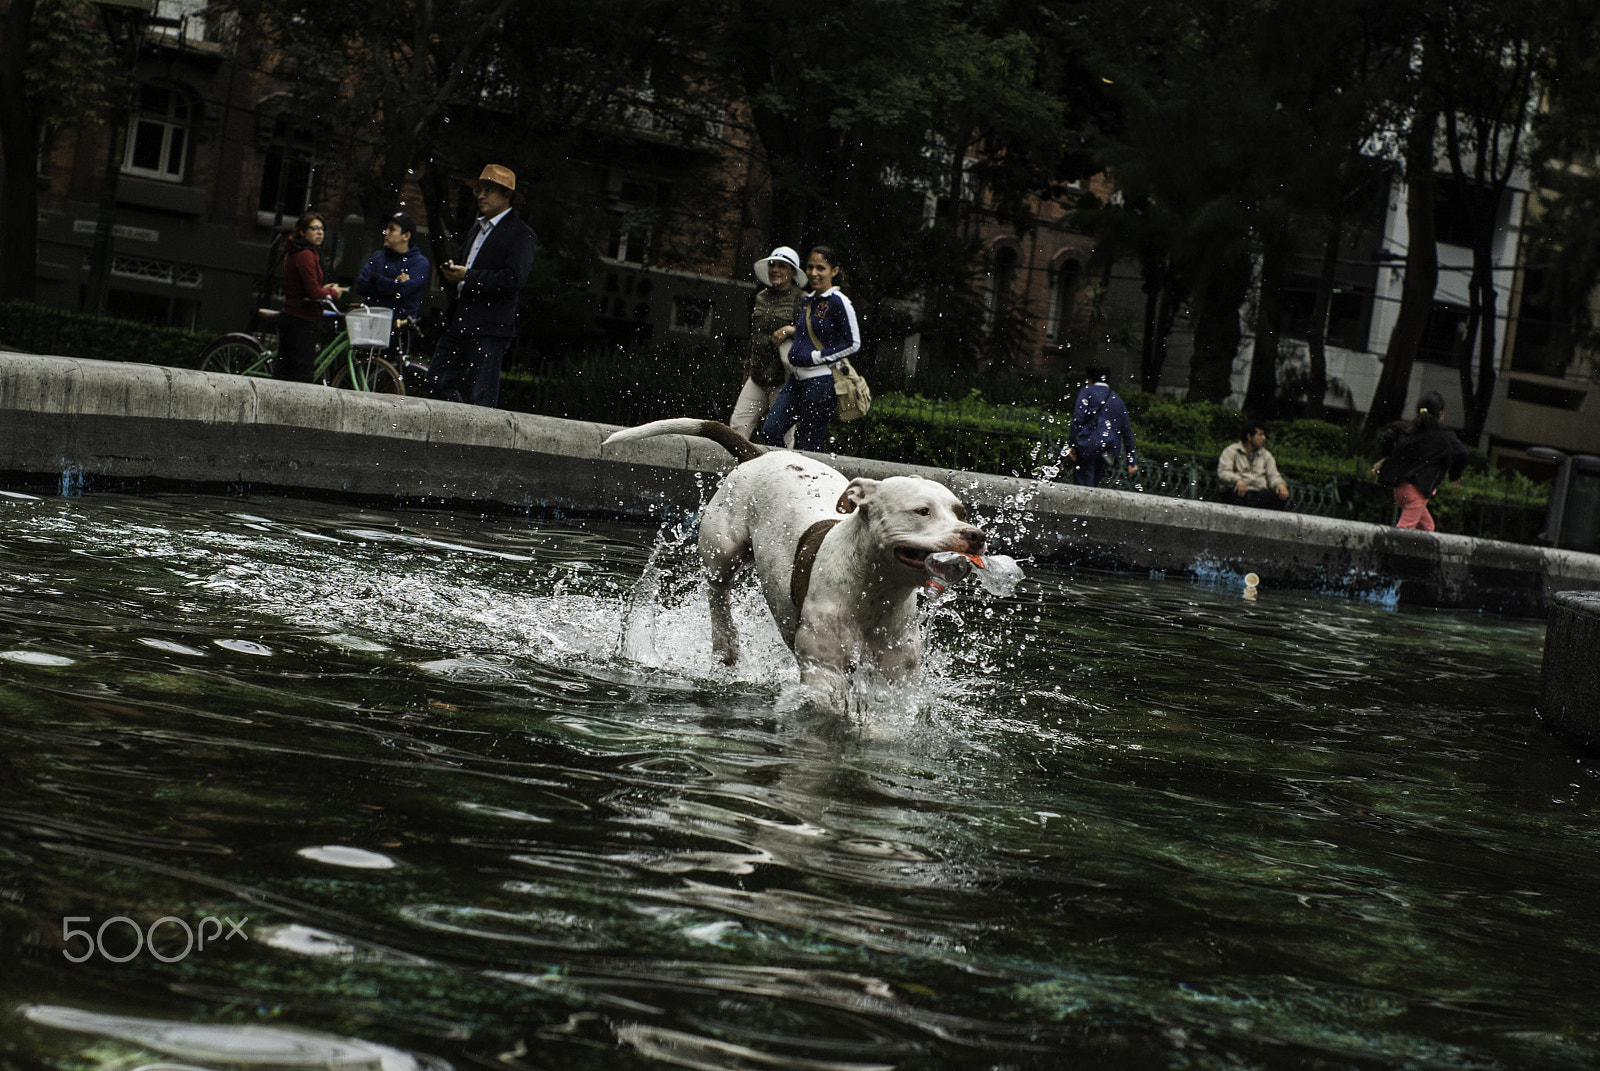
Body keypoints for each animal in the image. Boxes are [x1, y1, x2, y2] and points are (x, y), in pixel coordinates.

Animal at [604, 416, 985, 701]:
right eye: (922, 511)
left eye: (961, 512)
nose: (976, 536)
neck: (874, 590)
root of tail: (757, 455)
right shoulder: (824, 672)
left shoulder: (895, 678)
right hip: (722, 549)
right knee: (718, 593)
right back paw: (727, 643)